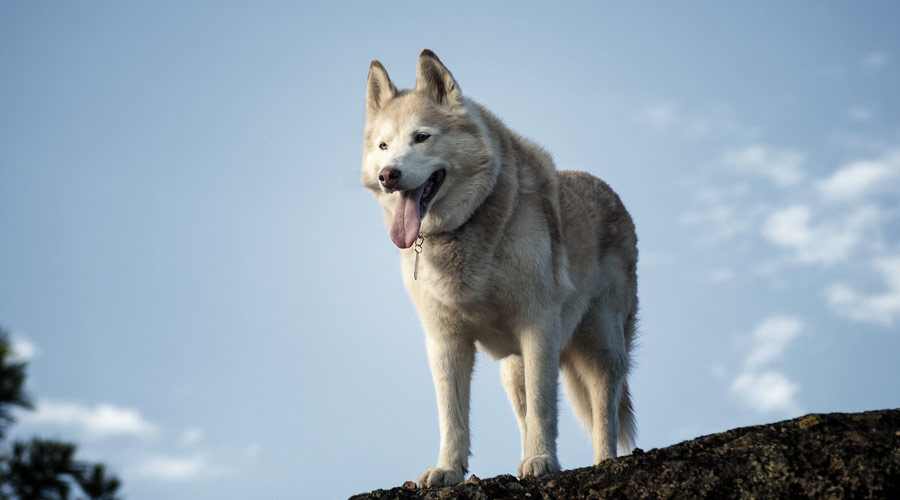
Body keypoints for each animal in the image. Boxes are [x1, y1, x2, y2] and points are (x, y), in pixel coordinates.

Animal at [360, 48, 640, 486]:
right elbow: (452, 416)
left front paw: (543, 461)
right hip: (513, 369)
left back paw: (604, 463)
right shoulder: (445, 341)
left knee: (604, 412)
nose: (389, 176)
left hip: (602, 347)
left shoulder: (537, 325)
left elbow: (545, 407)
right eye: (384, 145)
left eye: (422, 137)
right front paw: (448, 470)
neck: (465, 228)